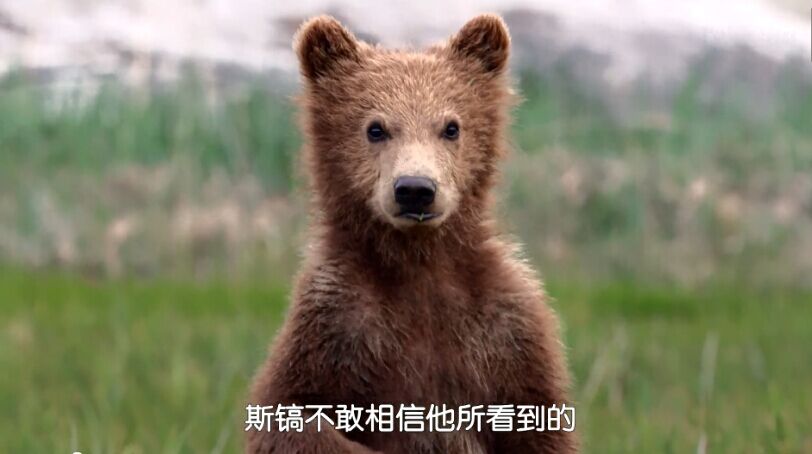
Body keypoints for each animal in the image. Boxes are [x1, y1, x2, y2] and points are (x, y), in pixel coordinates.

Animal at [246, 14, 577, 454]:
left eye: (451, 127)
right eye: (375, 128)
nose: (416, 189)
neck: (420, 264)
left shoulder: (508, 331)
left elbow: (537, 425)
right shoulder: (336, 325)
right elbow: (290, 415)